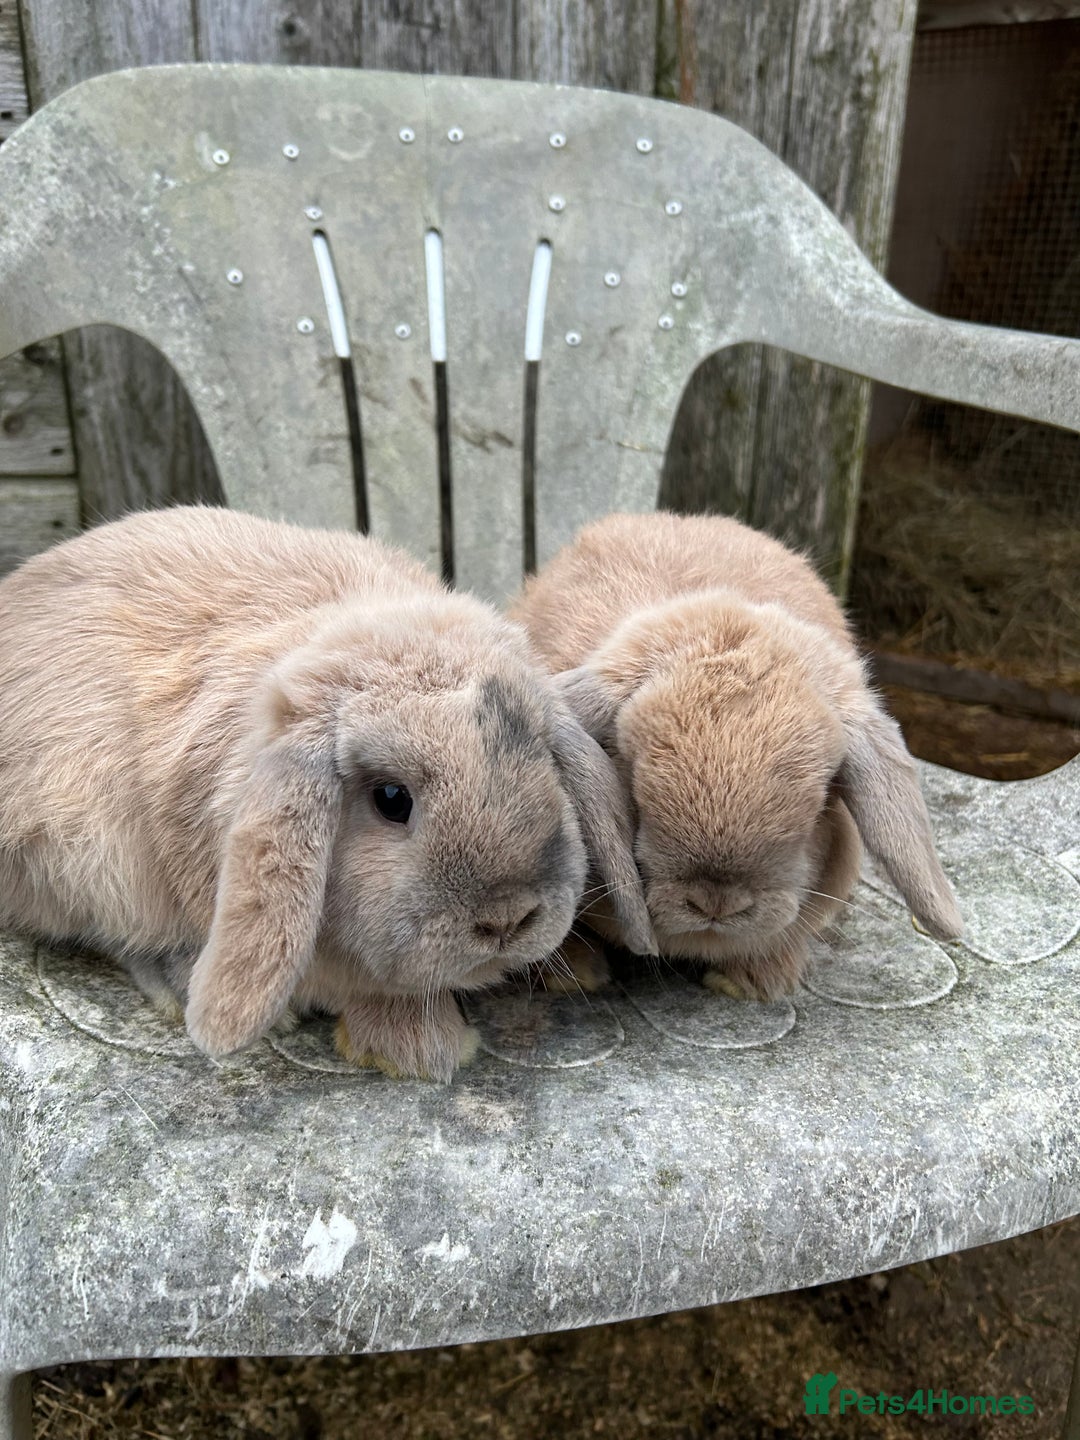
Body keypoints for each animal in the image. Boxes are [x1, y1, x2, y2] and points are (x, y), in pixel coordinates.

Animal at [0, 506, 655, 1081]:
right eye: (391, 799)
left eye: (544, 761)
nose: (506, 920)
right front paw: (421, 1048)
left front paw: (573, 964)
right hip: (93, 864)